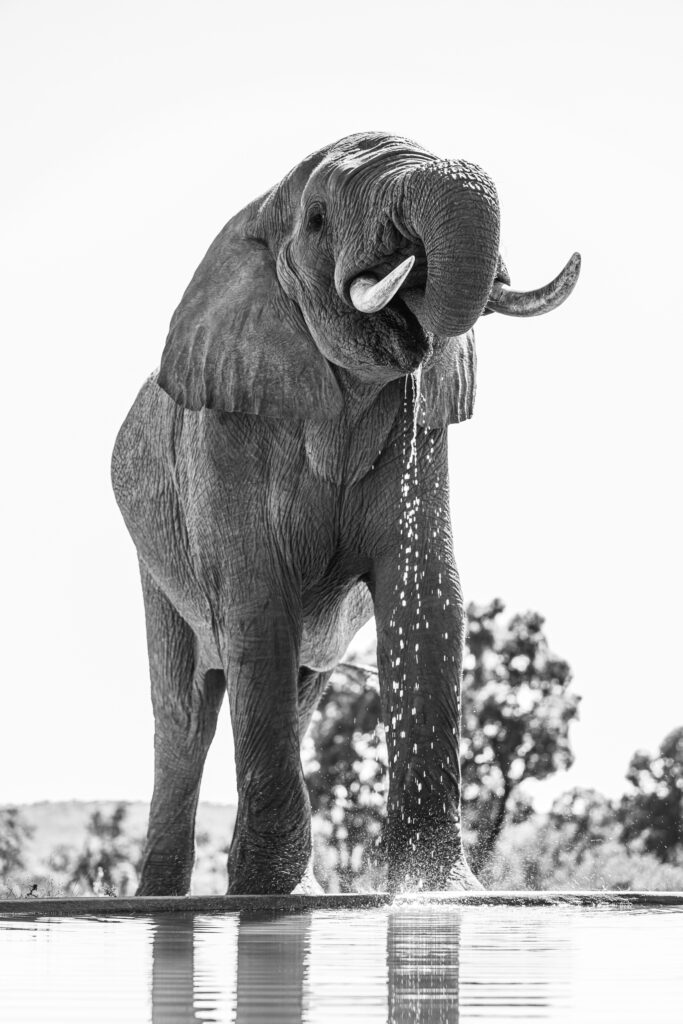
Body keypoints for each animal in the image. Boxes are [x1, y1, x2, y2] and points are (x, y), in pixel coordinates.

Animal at [113, 130, 581, 897]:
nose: (419, 320)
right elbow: (256, 603)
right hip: (156, 559)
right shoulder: (222, 431)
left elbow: (427, 591)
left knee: (296, 692)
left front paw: (438, 891)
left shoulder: (419, 429)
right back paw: (168, 899)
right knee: (184, 714)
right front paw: (266, 895)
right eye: (317, 221)